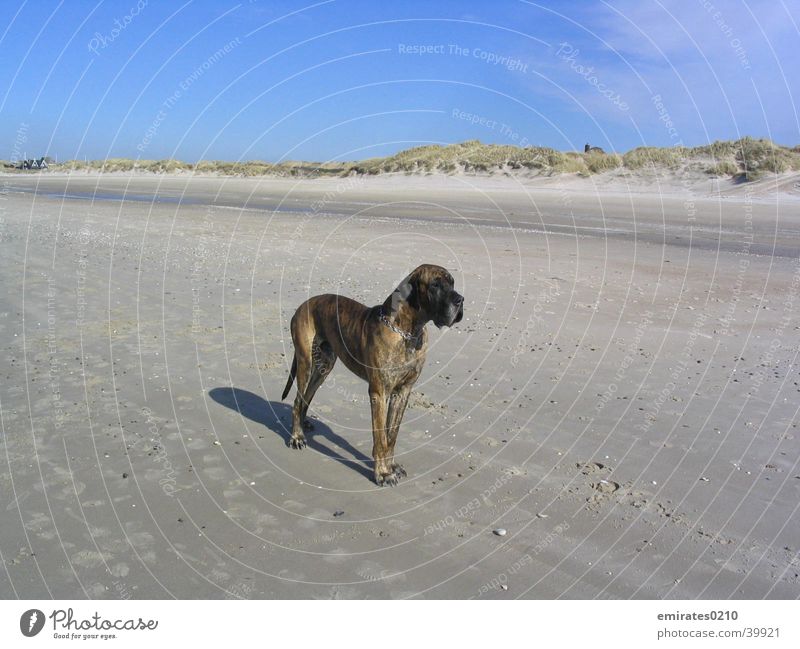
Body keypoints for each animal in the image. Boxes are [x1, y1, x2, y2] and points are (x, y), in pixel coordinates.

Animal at [284, 266, 466, 484]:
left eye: (453, 283)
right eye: (435, 285)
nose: (460, 300)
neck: (408, 332)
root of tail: (304, 304)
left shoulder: (403, 392)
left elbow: (391, 435)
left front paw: (392, 465)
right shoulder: (379, 393)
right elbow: (380, 436)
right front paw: (383, 473)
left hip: (324, 367)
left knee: (306, 396)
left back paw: (304, 425)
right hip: (305, 362)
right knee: (297, 400)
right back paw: (297, 437)